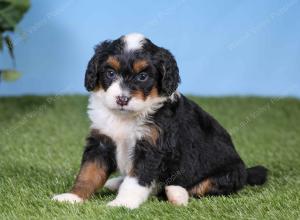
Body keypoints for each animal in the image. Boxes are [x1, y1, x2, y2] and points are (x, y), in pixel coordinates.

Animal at [52, 32, 268, 208]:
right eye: (110, 73)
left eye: (142, 76)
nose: (122, 99)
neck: (126, 118)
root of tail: (246, 172)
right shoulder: (101, 141)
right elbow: (88, 173)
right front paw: (73, 197)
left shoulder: (152, 147)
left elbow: (136, 180)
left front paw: (123, 203)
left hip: (228, 173)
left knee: (198, 187)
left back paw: (176, 194)